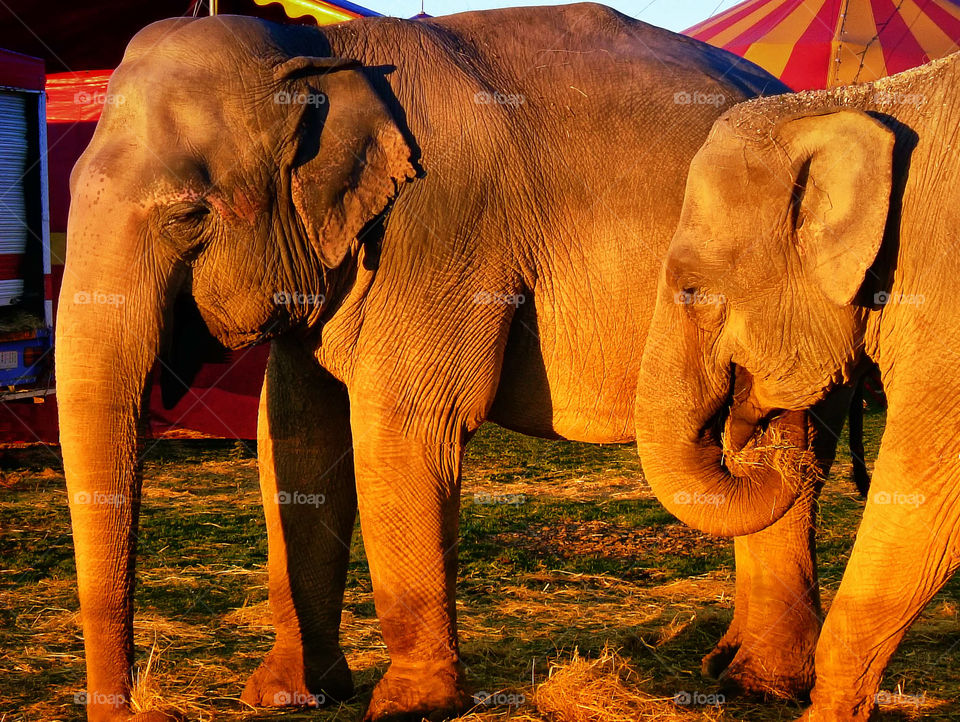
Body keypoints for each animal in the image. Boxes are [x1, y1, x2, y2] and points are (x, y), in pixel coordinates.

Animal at [57, 4, 838, 721]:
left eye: (188, 217)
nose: (143, 710)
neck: (325, 50)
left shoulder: (440, 231)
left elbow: (402, 429)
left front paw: (407, 707)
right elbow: (295, 440)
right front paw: (285, 695)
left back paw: (759, 683)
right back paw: (725, 663)